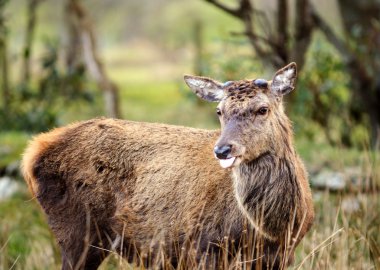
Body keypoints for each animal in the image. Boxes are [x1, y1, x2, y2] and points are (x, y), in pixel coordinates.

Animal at [23, 62, 314, 268]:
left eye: (263, 109)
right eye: (219, 111)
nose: (222, 150)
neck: (275, 227)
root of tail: (31, 154)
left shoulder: (281, 254)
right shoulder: (204, 246)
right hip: (76, 232)